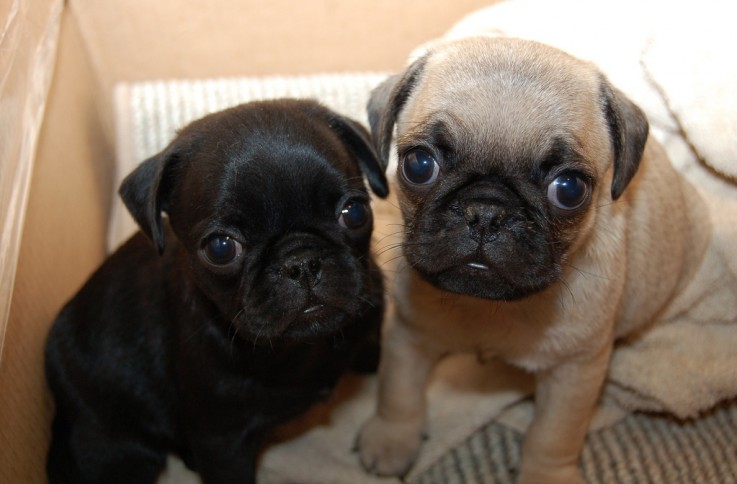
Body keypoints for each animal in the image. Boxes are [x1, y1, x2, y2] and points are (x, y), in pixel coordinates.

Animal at [45, 99, 388, 484]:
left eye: (354, 212)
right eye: (221, 248)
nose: (301, 262)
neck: (300, 349)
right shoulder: (223, 443)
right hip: (117, 452)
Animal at [356, 36, 708, 482]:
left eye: (570, 188)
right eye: (419, 165)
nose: (486, 210)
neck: (490, 308)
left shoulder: (575, 371)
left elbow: (553, 434)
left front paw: (545, 473)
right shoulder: (409, 334)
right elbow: (399, 392)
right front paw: (391, 439)